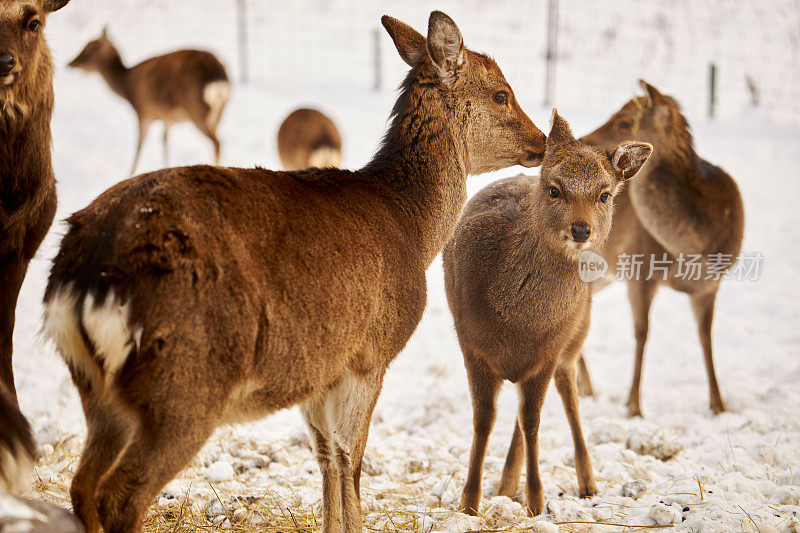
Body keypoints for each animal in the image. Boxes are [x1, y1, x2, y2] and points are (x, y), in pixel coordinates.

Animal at [67, 28, 230, 175]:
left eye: (89, 48)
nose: (70, 63)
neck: (127, 87)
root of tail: (218, 80)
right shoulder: (167, 117)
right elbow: (164, 141)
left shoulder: (143, 111)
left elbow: (139, 145)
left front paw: (129, 174)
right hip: (218, 113)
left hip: (197, 110)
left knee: (217, 142)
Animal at [444, 112, 648, 516]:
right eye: (555, 189)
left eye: (604, 194)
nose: (581, 229)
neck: (519, 323)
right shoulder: (471, 345)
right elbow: (484, 420)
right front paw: (470, 503)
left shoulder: (549, 352)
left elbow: (533, 421)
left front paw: (536, 503)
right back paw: (506, 484)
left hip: (575, 338)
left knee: (568, 396)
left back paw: (586, 482)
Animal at [580, 80, 744, 416]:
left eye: (624, 122)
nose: (581, 142)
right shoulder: (640, 270)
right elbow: (642, 333)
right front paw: (633, 406)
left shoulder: (710, 285)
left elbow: (706, 337)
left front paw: (718, 405)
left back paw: (586, 388)